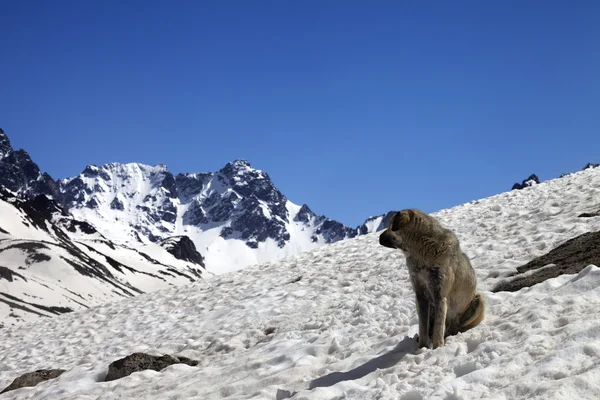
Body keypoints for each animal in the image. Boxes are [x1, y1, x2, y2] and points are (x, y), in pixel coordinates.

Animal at [382, 209, 486, 346]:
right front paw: (422, 347)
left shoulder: (440, 295)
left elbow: (438, 326)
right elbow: (423, 326)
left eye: (391, 225)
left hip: (479, 300)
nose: (379, 237)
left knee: (455, 327)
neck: (420, 251)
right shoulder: (420, 295)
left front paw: (437, 347)